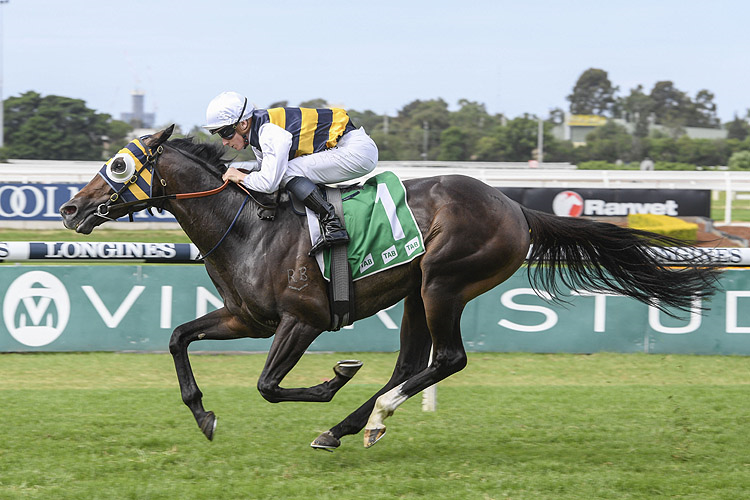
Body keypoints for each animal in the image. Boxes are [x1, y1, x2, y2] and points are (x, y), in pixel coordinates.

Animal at [60, 125, 724, 450]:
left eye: (118, 166)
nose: (69, 209)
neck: (246, 225)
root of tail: (515, 206)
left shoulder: (302, 319)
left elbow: (270, 385)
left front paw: (333, 379)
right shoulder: (247, 317)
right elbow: (177, 337)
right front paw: (202, 415)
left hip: (443, 283)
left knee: (447, 358)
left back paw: (367, 417)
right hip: (414, 293)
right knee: (411, 362)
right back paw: (346, 429)